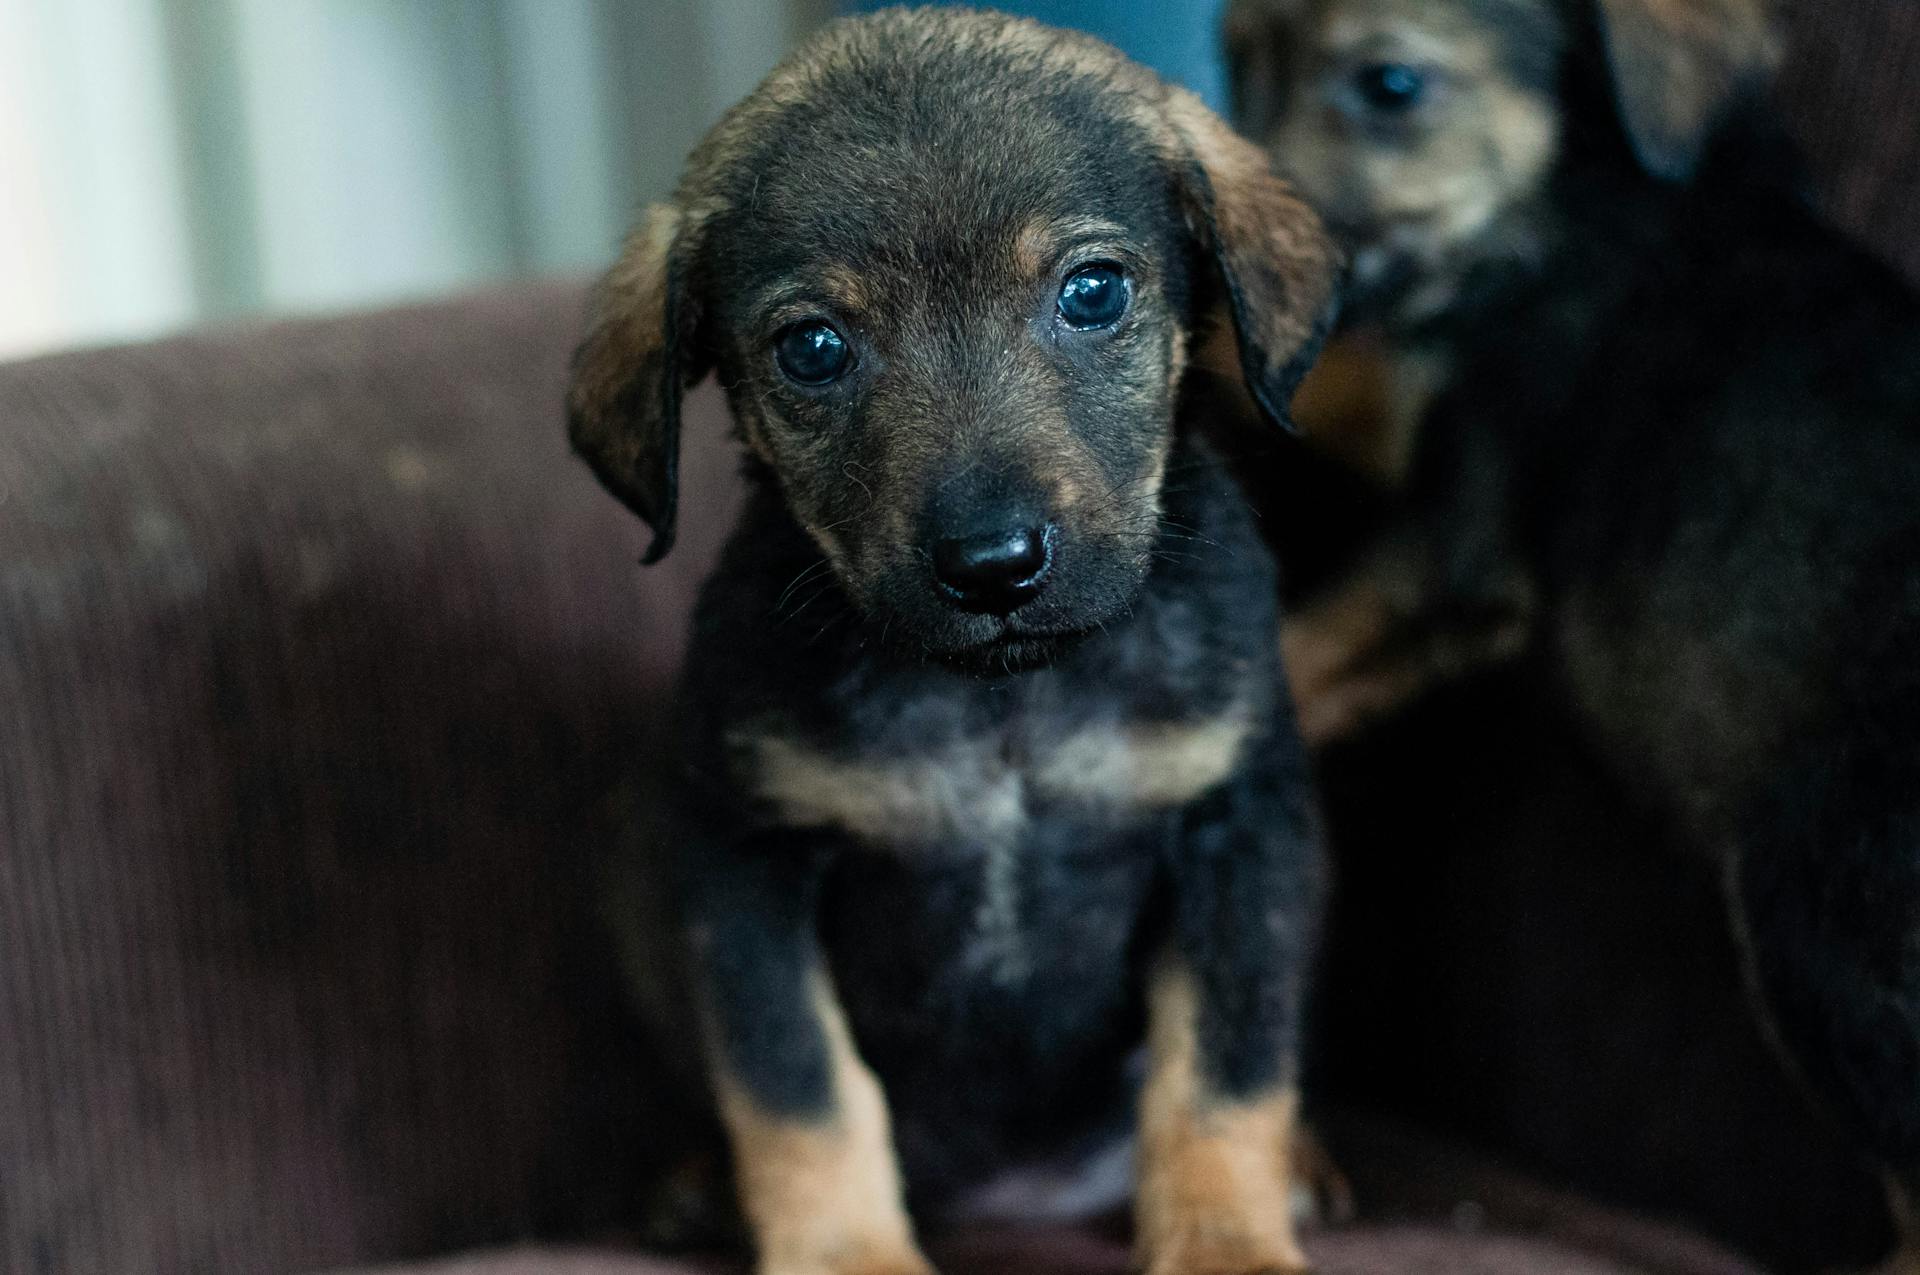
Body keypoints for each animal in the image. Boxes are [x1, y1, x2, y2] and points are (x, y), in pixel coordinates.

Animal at [568, 9, 1344, 1275]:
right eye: (813, 348)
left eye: (1092, 290)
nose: (994, 567)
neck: (1003, 707)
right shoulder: (741, 862)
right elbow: (800, 1090)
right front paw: (844, 1256)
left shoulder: (1236, 829)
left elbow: (1221, 1077)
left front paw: (1226, 1240)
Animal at [1221, 0, 1920, 1267]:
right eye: (1240, 61)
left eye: (1390, 85)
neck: (1590, 189)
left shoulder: (1452, 544)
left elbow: (1300, 651)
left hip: (1819, 929)